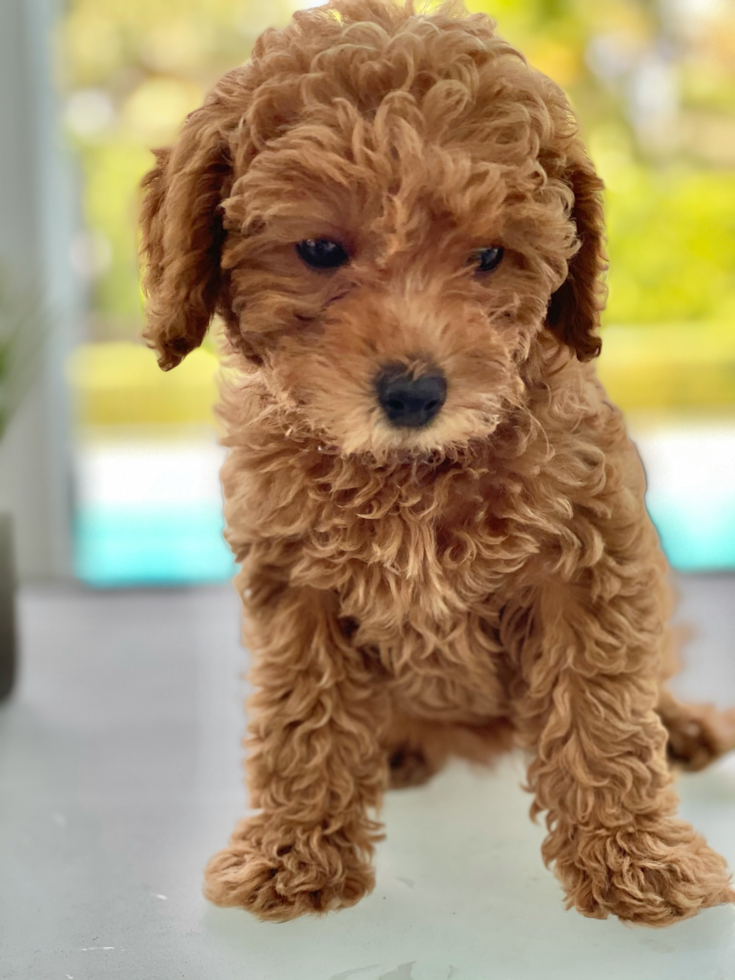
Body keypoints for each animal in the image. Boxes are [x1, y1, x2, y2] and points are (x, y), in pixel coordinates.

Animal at [139, 0, 735, 928]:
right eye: (319, 250)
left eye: (488, 258)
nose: (415, 393)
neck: (408, 472)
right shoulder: (296, 584)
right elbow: (301, 716)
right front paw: (294, 849)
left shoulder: (589, 556)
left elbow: (601, 709)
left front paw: (634, 858)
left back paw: (681, 726)